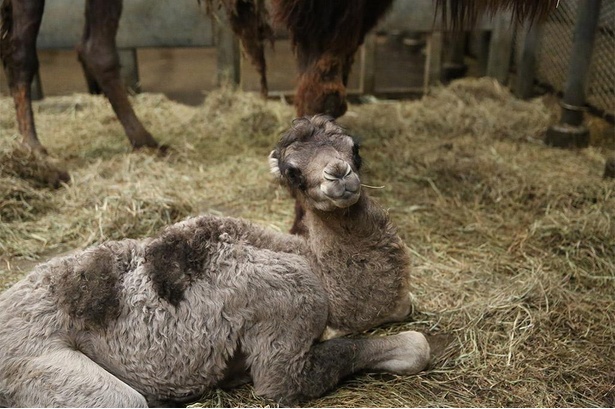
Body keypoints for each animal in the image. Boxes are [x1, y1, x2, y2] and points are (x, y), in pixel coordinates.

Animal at [0, 114, 428, 404]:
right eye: (292, 171)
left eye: (355, 148)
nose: (338, 174)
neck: (315, 268)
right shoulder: (289, 312)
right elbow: (374, 350)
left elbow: (400, 308)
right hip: (40, 365)